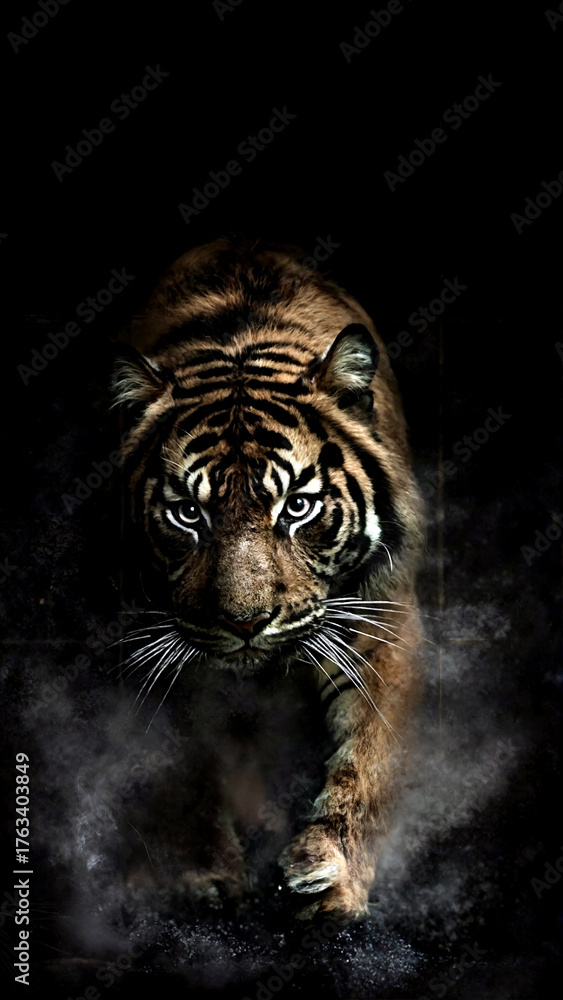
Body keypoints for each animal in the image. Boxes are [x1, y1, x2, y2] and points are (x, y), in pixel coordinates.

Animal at [111, 234, 424, 923]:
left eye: (297, 507)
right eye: (188, 513)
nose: (246, 622)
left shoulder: (381, 621)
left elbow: (370, 759)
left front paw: (330, 879)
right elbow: (185, 769)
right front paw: (205, 878)